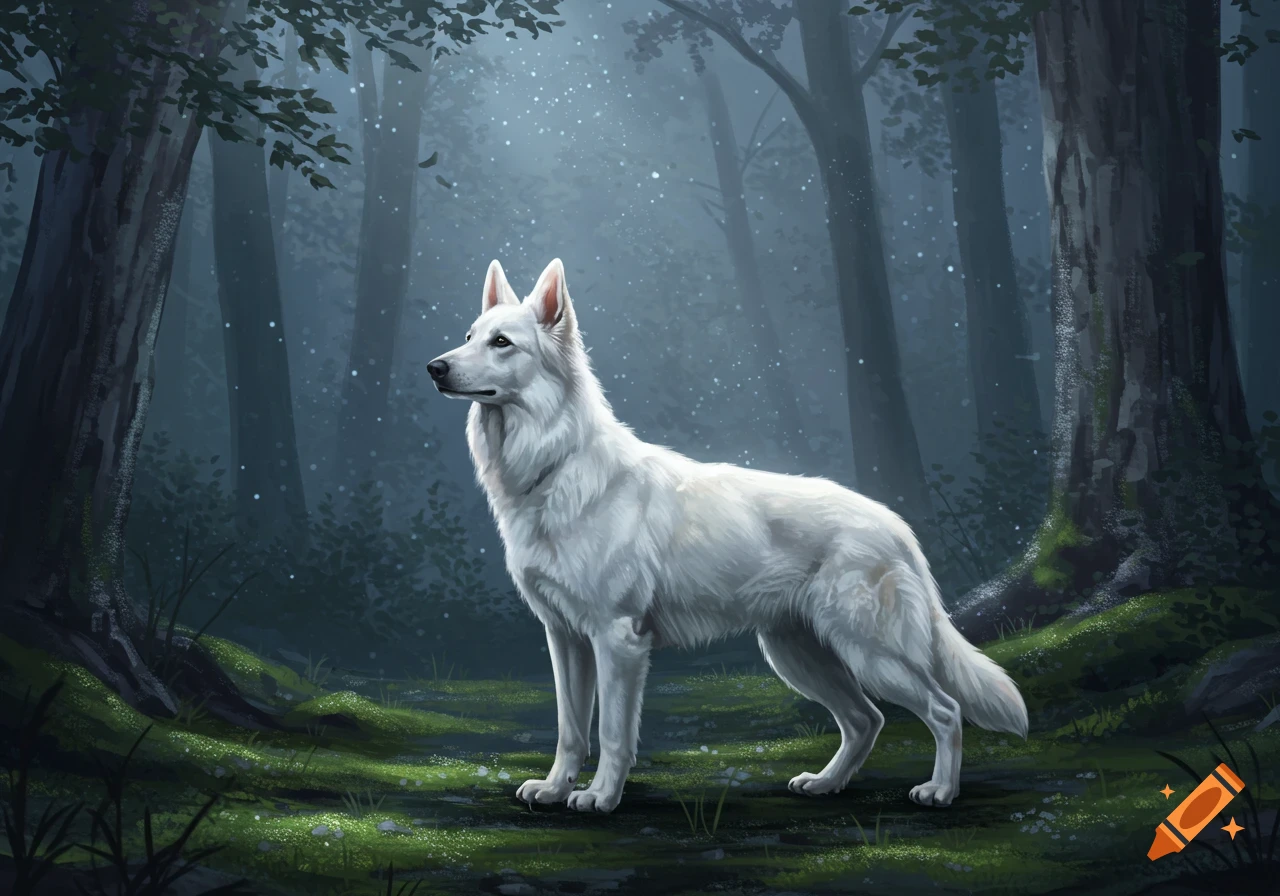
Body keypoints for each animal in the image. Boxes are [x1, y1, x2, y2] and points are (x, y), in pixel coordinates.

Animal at [427, 258, 1028, 814]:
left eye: (502, 343)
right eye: (468, 337)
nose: (434, 367)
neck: (554, 464)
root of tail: (898, 526)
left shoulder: (618, 640)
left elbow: (613, 733)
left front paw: (600, 797)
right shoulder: (565, 638)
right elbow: (570, 730)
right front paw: (555, 789)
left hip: (870, 654)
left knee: (944, 711)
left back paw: (940, 790)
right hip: (797, 656)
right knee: (866, 720)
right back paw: (826, 783)